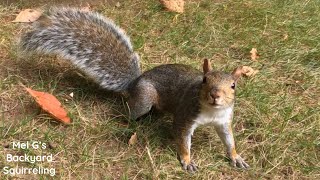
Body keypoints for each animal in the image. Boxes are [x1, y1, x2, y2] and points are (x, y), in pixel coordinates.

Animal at [20, 7, 250, 173]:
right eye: (204, 80)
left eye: (233, 85)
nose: (215, 95)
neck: (211, 112)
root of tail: (135, 82)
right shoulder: (186, 116)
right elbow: (183, 140)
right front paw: (187, 161)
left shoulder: (224, 120)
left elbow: (229, 140)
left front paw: (236, 157)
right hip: (144, 99)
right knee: (129, 111)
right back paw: (131, 121)